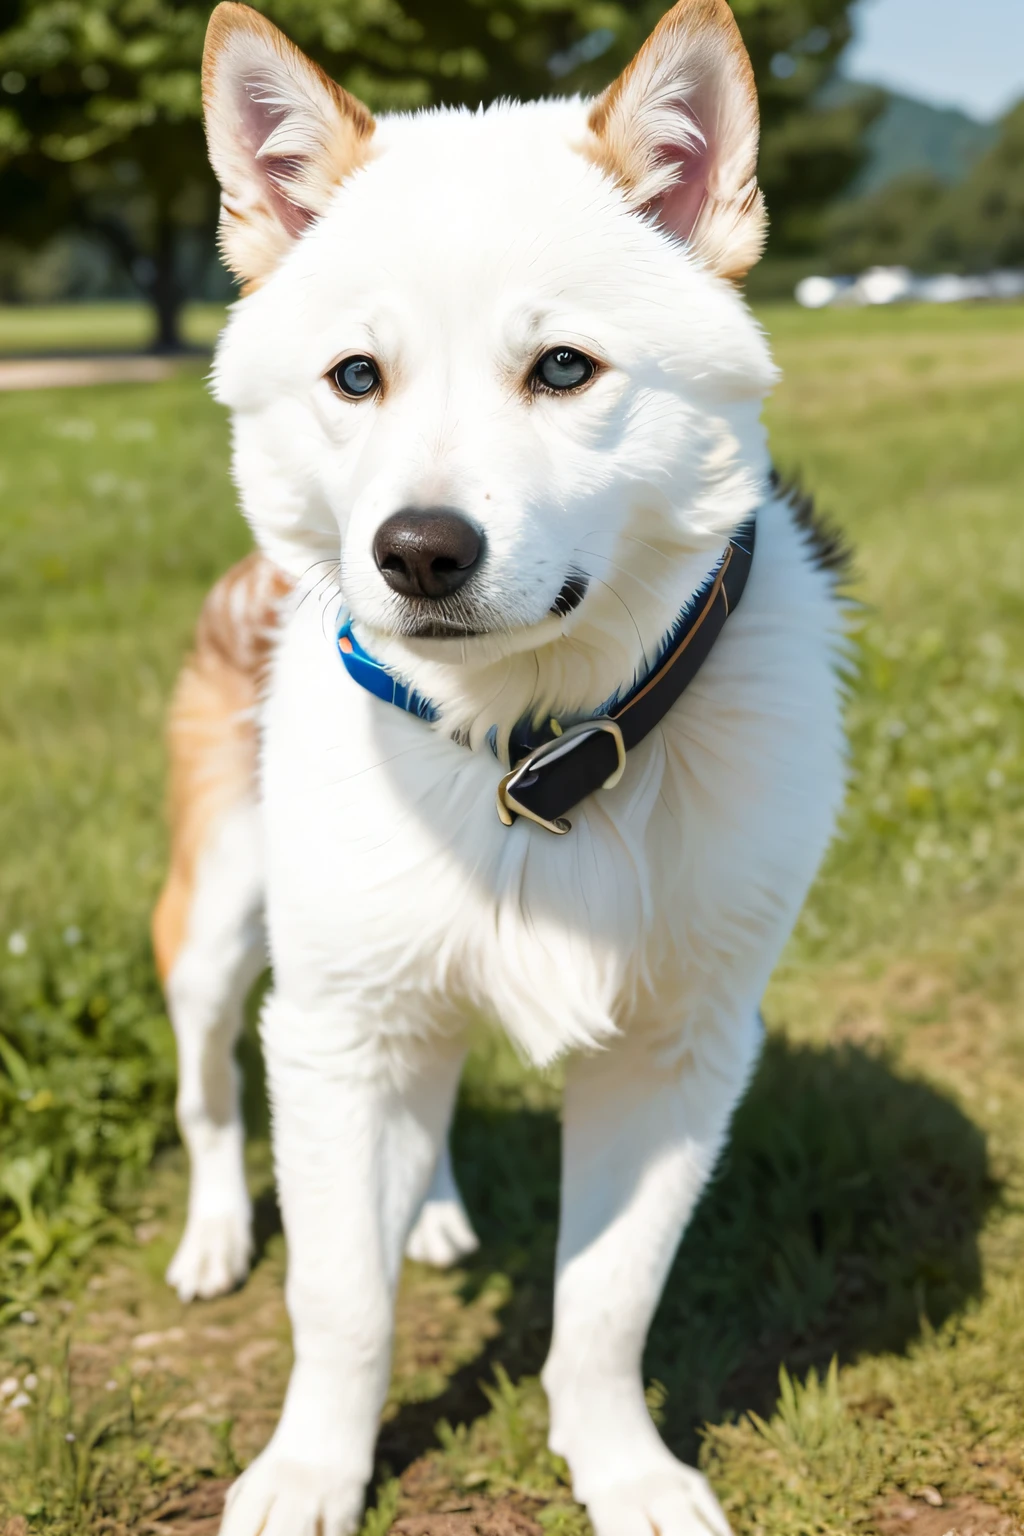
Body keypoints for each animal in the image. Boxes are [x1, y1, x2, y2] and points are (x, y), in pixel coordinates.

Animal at [148, 6, 847, 1529]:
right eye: (357, 376)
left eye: (565, 369)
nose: (415, 553)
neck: (531, 748)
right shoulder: (335, 1028)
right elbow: (339, 1306)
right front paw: (310, 1471)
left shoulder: (679, 1050)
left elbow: (606, 1307)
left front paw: (624, 1469)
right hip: (223, 925)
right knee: (212, 1089)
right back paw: (220, 1232)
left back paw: (433, 1208)